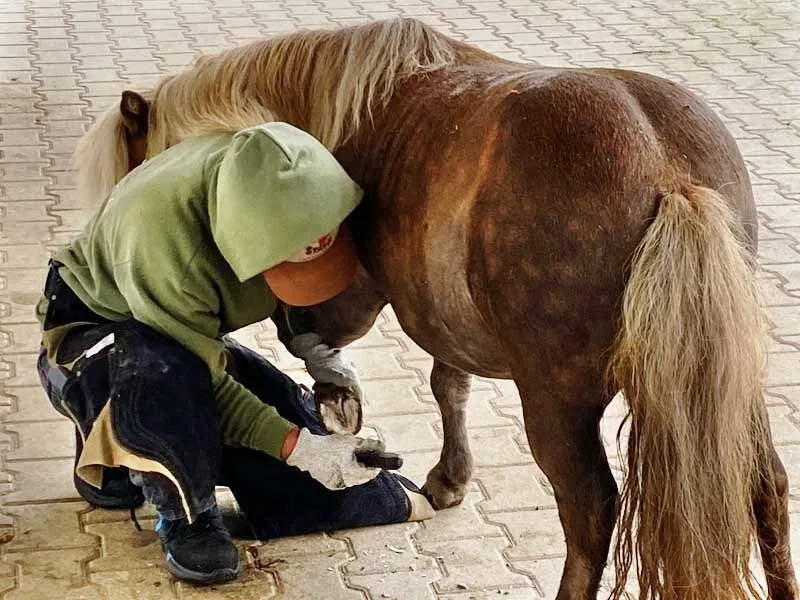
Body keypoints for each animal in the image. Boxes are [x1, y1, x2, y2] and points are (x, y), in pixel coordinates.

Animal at [71, 17, 796, 600]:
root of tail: (665, 172)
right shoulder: (445, 319)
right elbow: (448, 382)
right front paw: (448, 478)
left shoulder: (345, 300)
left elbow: (323, 341)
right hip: (723, 381)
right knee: (765, 486)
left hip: (557, 399)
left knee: (591, 514)